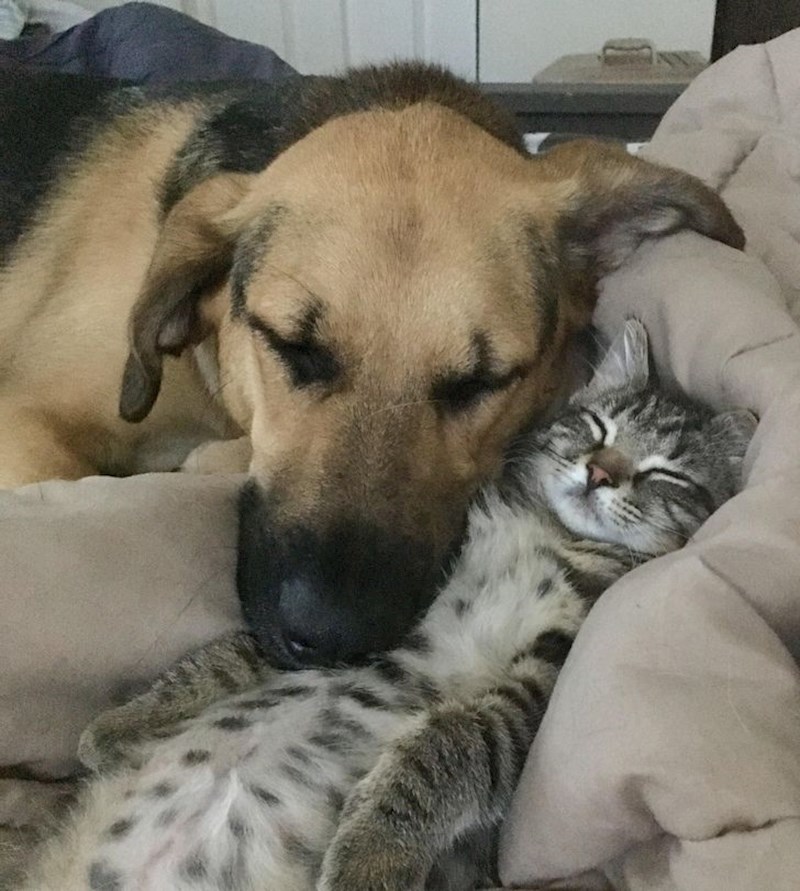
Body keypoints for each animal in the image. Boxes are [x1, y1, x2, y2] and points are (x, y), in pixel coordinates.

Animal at [22, 320, 755, 891]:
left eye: (666, 473)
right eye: (597, 425)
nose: (601, 472)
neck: (546, 530)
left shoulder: (540, 684)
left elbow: (449, 743)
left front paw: (371, 853)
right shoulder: (404, 602)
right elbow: (235, 654)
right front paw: (125, 721)